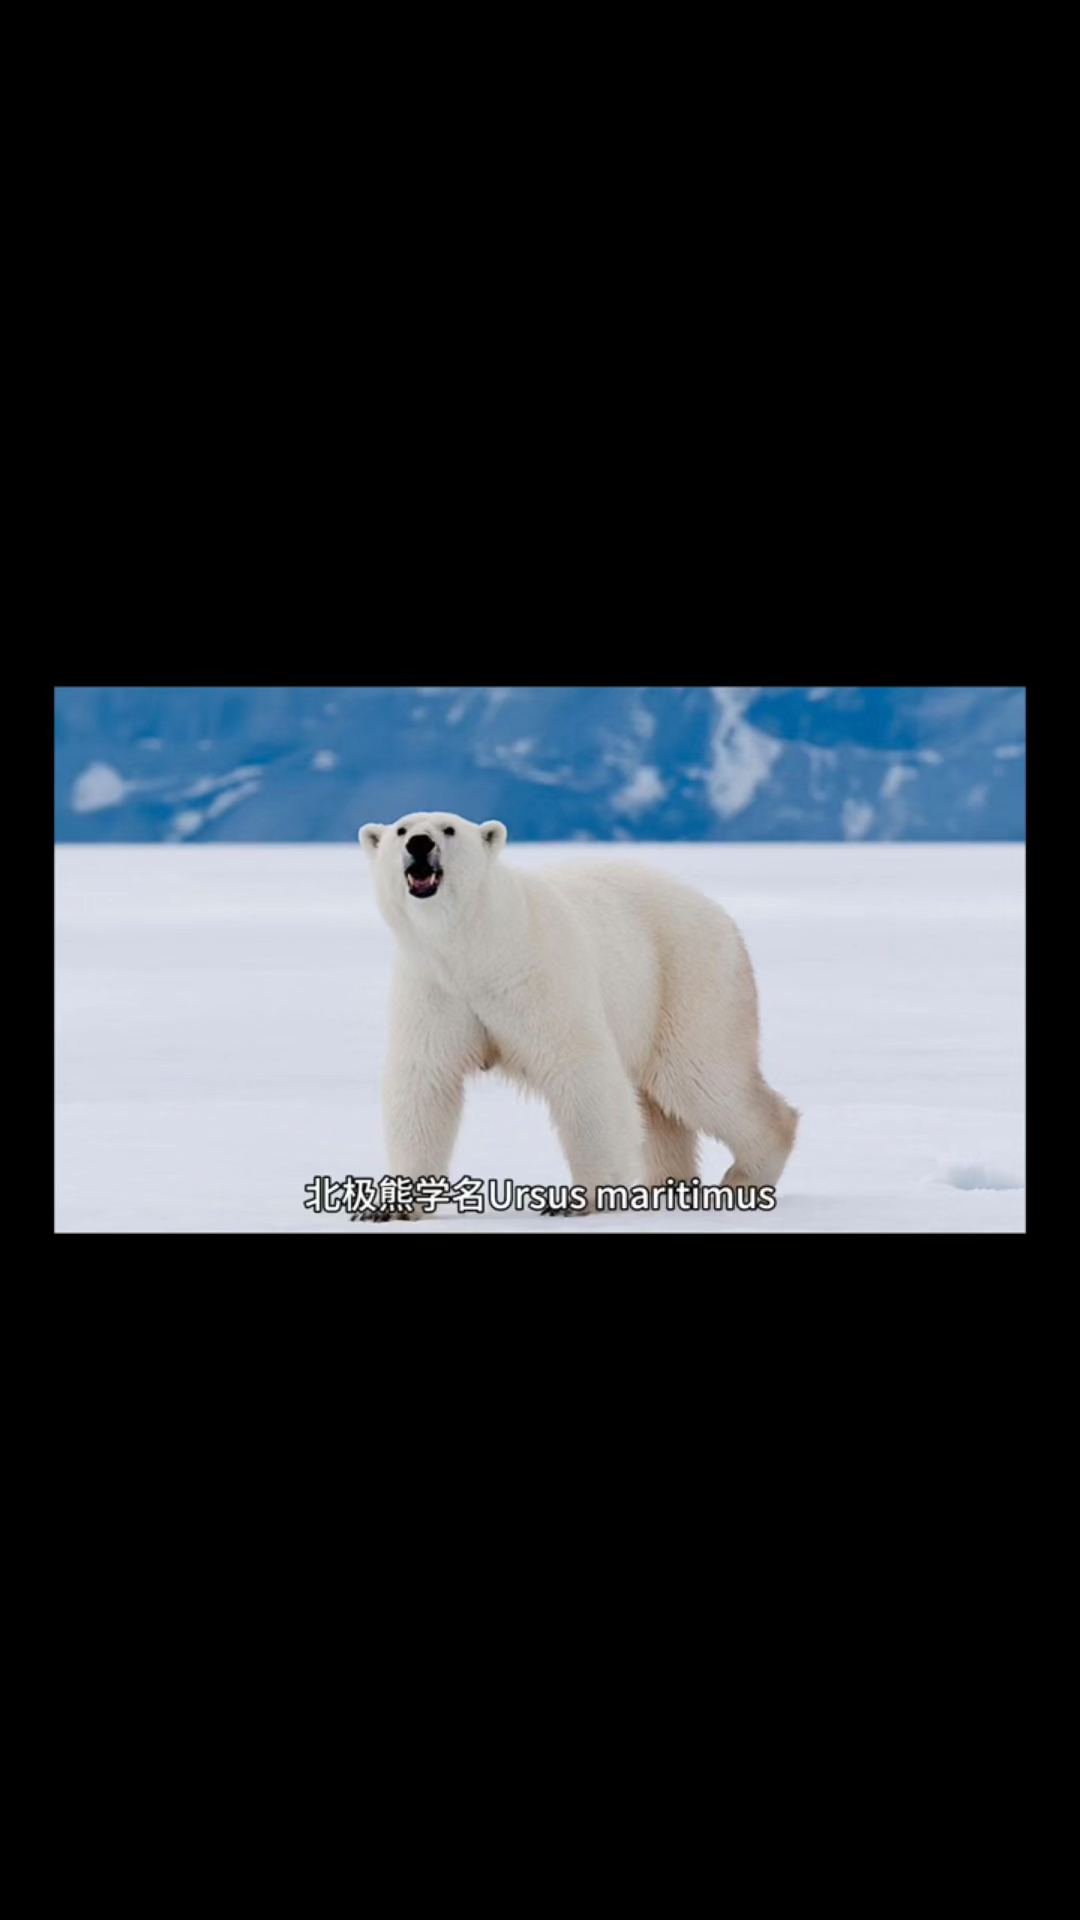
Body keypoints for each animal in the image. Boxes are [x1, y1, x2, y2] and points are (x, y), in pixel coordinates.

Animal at [356, 811, 799, 1220]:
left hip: (685, 977)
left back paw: (744, 1178)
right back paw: (662, 1187)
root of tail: (716, 909)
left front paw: (576, 1201)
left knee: (701, 1078)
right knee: (660, 1106)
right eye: (401, 829)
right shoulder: (434, 987)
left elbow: (579, 1070)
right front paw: (390, 1207)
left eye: (448, 829)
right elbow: (424, 1081)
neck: (474, 946)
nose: (419, 844)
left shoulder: (535, 975)